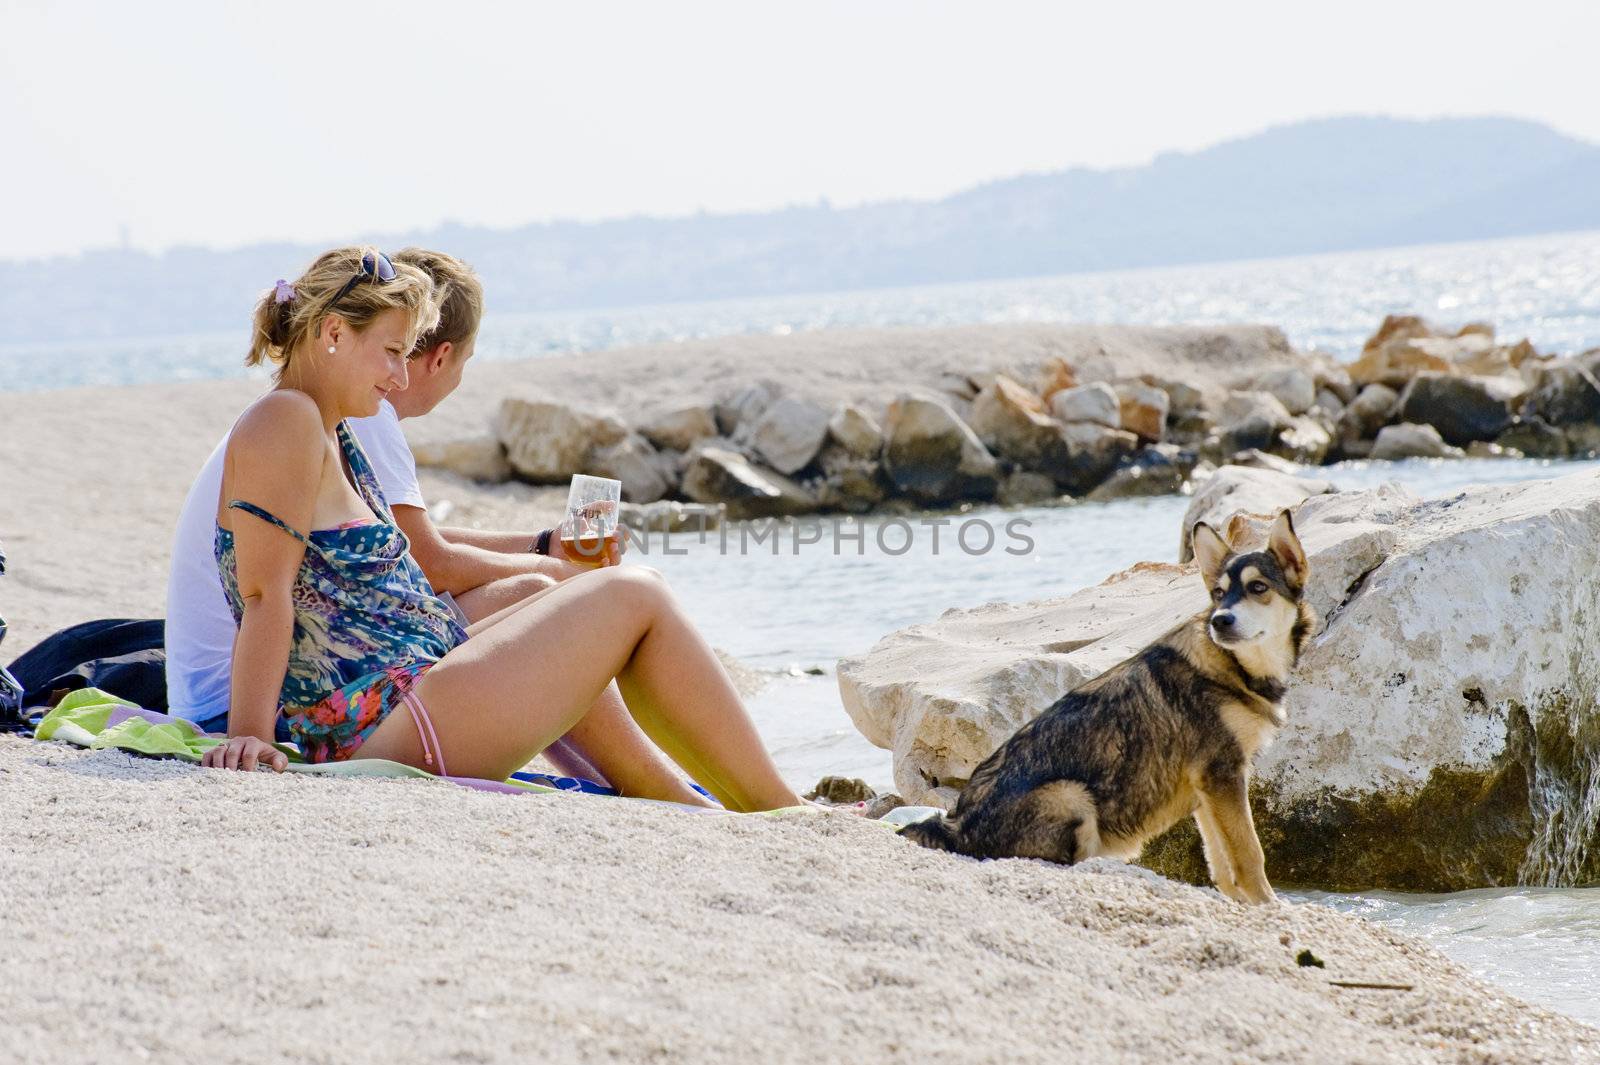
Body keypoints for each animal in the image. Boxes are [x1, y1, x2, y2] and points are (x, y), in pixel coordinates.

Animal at [902, 511, 1312, 901]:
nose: (1220, 620)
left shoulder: (1209, 788)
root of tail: (956, 827)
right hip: (1072, 795)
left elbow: (1223, 866)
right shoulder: (1222, 774)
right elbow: (1249, 855)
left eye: (1258, 588)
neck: (1233, 667)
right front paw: (1269, 906)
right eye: (1219, 593)